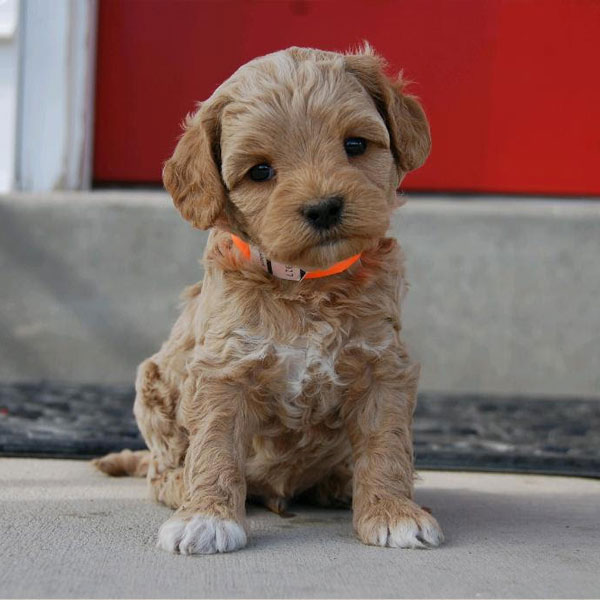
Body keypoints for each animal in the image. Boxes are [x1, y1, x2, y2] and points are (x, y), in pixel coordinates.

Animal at [95, 44, 446, 556]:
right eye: (260, 171)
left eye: (355, 145)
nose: (324, 207)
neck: (308, 284)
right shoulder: (222, 370)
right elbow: (215, 445)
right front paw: (206, 517)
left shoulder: (383, 367)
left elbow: (386, 444)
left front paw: (394, 512)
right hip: (151, 385)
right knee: (160, 469)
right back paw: (181, 488)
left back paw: (342, 482)